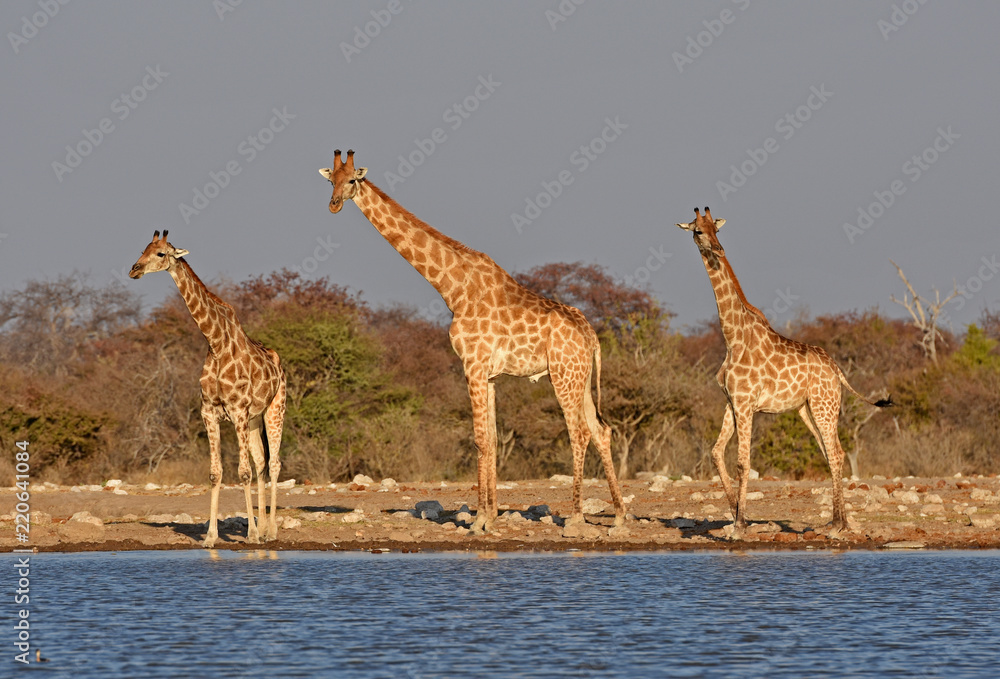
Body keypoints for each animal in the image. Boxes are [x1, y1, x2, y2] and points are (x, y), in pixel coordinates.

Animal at [129, 230, 286, 548]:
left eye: (161, 254)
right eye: (143, 250)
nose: (134, 270)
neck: (215, 344)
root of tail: (280, 363)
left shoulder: (237, 411)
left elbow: (242, 473)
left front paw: (251, 535)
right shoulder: (210, 412)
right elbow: (216, 473)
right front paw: (211, 537)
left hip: (275, 409)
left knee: (274, 464)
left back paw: (270, 531)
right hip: (255, 419)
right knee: (262, 463)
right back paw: (264, 528)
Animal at [319, 150, 625, 533]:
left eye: (352, 181)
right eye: (330, 180)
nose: (333, 205)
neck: (453, 288)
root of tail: (591, 335)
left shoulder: (473, 365)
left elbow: (479, 439)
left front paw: (479, 520)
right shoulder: (490, 374)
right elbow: (491, 439)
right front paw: (491, 516)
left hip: (563, 376)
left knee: (580, 432)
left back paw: (576, 517)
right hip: (580, 377)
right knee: (602, 430)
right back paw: (620, 517)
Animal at [676, 207, 892, 538]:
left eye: (717, 229)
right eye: (698, 231)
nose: (719, 249)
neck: (732, 337)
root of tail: (837, 370)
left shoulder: (745, 404)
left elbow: (743, 462)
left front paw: (740, 524)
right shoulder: (732, 402)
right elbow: (715, 452)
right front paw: (737, 515)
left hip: (824, 405)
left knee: (836, 453)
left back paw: (838, 525)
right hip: (807, 409)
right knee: (832, 452)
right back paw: (837, 521)